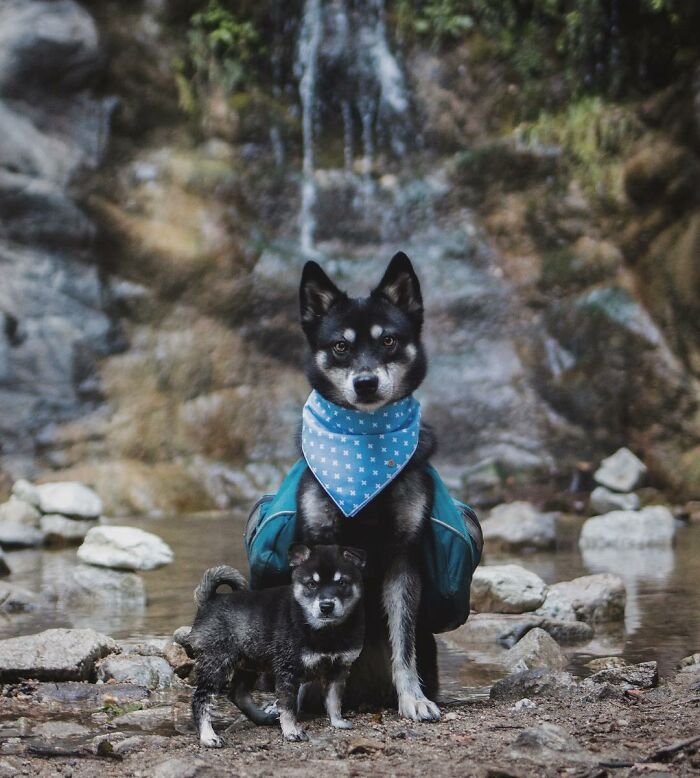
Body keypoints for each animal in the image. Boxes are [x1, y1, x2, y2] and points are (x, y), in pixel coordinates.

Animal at [191, 544, 366, 744]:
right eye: (312, 584)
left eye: (342, 583)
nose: (326, 606)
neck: (325, 631)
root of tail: (209, 600)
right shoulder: (288, 672)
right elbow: (288, 706)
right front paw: (291, 731)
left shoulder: (338, 669)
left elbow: (334, 700)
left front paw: (337, 721)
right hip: (217, 664)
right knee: (201, 699)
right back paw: (208, 736)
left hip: (250, 661)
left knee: (237, 694)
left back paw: (262, 718)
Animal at [294, 252, 438, 720]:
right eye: (341, 346)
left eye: (388, 340)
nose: (366, 383)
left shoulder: (402, 560)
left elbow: (403, 646)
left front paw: (413, 698)